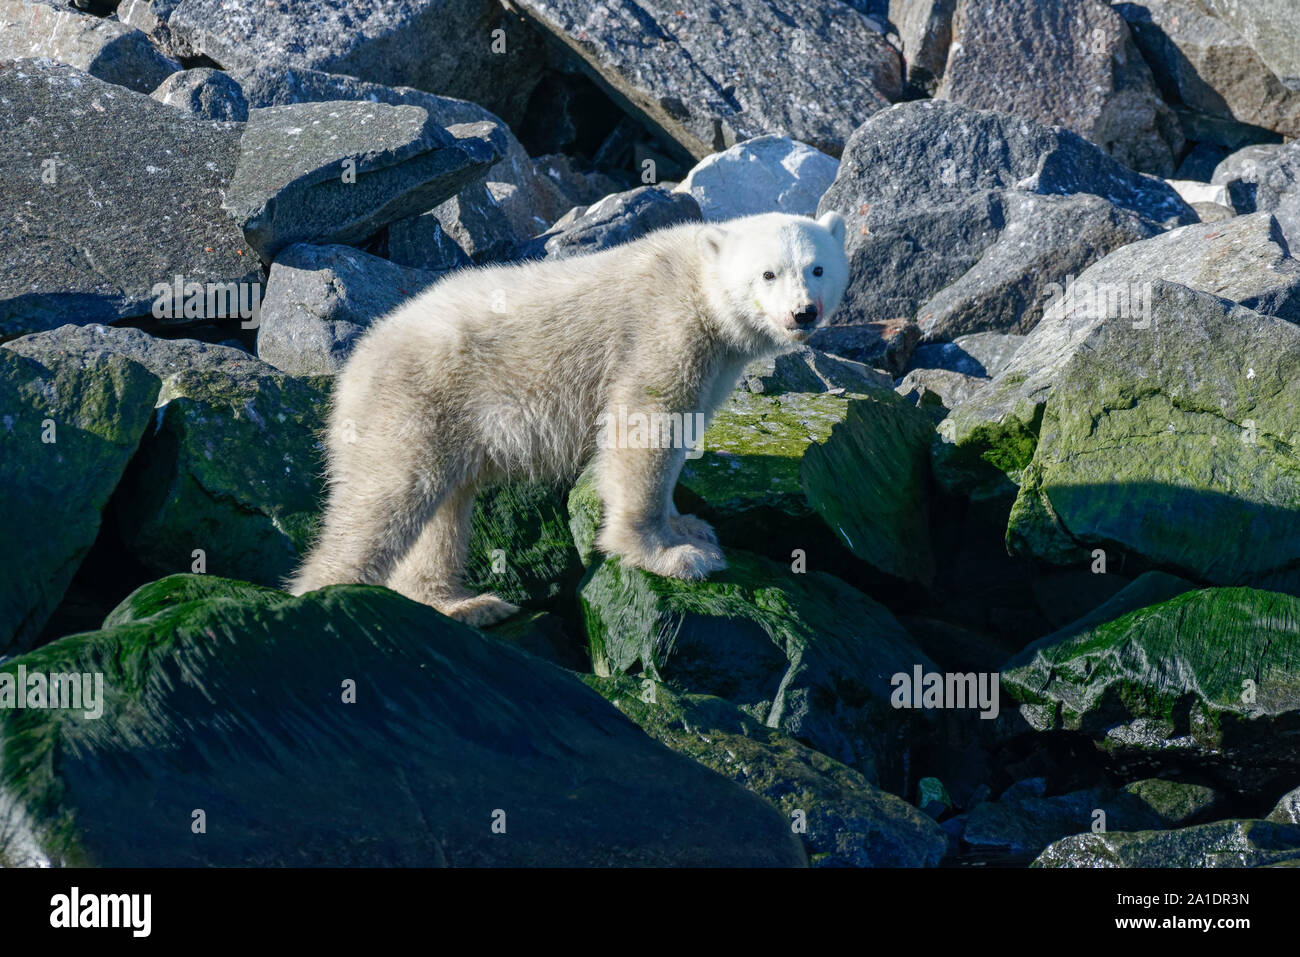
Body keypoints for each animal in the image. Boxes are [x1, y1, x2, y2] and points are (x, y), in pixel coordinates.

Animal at [287, 211, 850, 626]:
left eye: (818, 268)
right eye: (768, 272)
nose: (803, 313)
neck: (694, 279)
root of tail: (354, 365)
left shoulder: (716, 363)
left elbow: (679, 432)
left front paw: (689, 525)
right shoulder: (662, 329)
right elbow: (643, 425)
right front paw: (672, 556)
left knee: (442, 510)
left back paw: (463, 604)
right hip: (412, 403)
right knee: (385, 499)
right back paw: (326, 593)